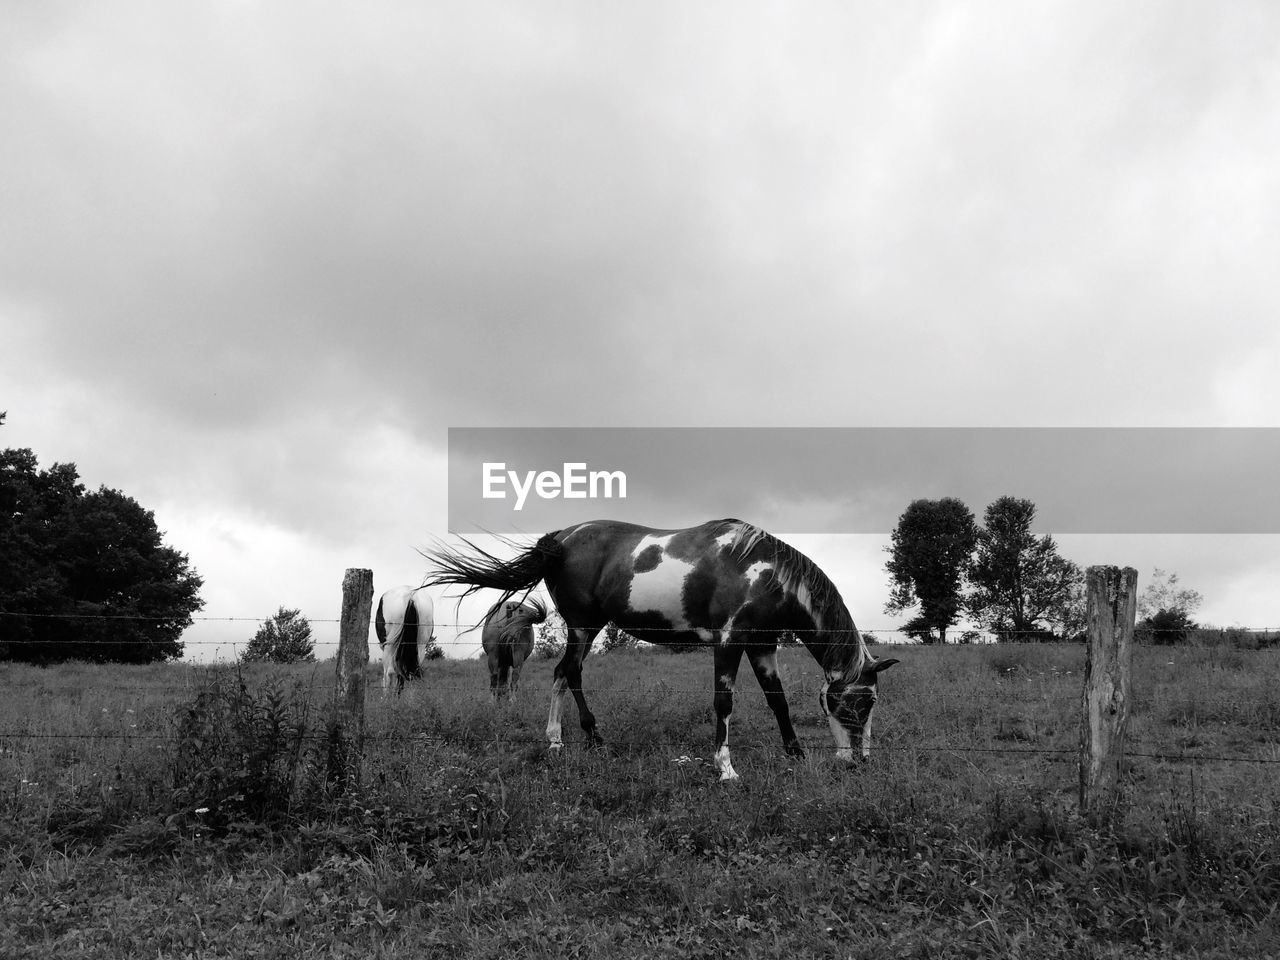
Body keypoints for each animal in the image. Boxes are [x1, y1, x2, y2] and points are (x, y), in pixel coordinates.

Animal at [422, 519, 901, 783]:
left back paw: (584, 737)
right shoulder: (728, 644)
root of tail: (561, 538)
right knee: (564, 673)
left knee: (568, 674)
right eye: (860, 703)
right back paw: (563, 739)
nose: (859, 761)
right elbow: (724, 703)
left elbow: (778, 701)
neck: (763, 571)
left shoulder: (762, 646)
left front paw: (796, 754)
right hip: (582, 627)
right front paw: (725, 769)